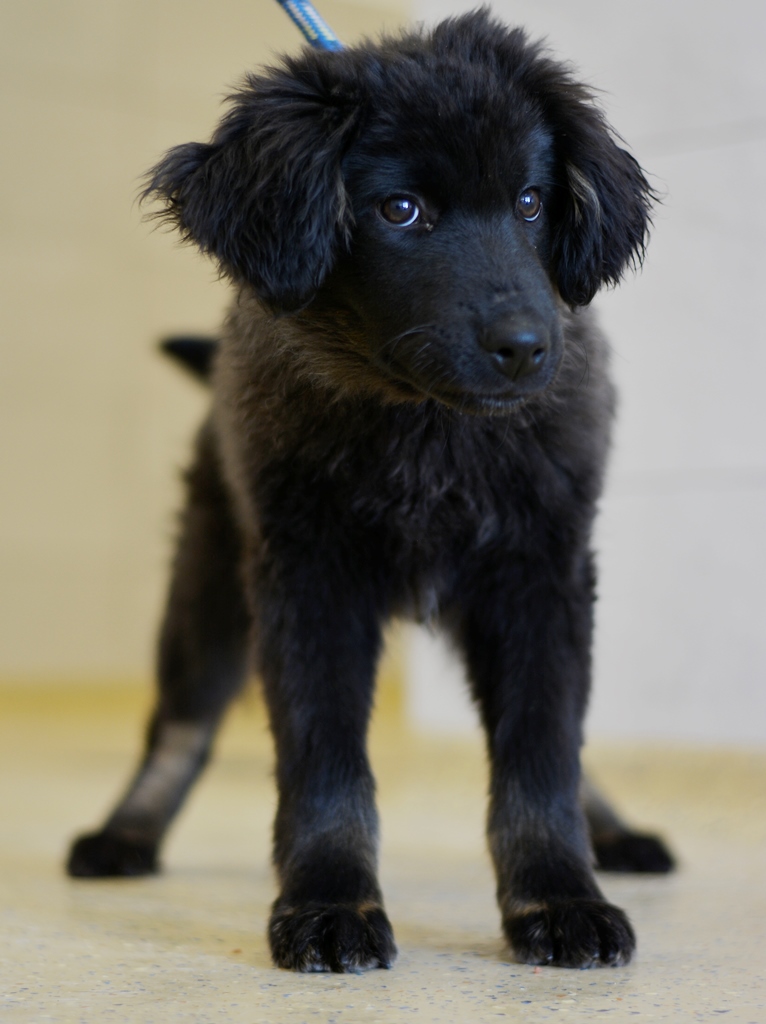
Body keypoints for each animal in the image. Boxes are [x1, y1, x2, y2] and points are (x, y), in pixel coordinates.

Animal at [68, 10, 673, 971]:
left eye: (532, 203)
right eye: (400, 210)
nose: (528, 347)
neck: (429, 430)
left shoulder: (541, 576)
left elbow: (543, 752)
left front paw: (560, 896)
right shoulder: (309, 580)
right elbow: (325, 765)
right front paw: (329, 904)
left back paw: (613, 831)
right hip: (207, 583)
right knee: (180, 725)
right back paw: (125, 834)